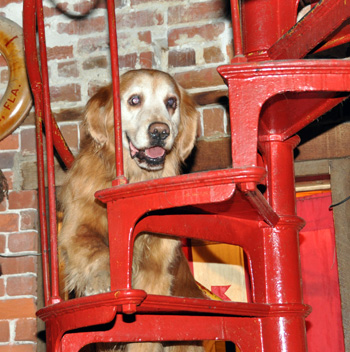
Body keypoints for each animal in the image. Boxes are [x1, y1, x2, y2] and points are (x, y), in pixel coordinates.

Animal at [58, 69, 204, 352]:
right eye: (134, 100)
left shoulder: (156, 269)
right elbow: (99, 251)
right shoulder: (75, 230)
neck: (135, 180)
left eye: (171, 102)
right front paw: (102, 282)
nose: (160, 131)